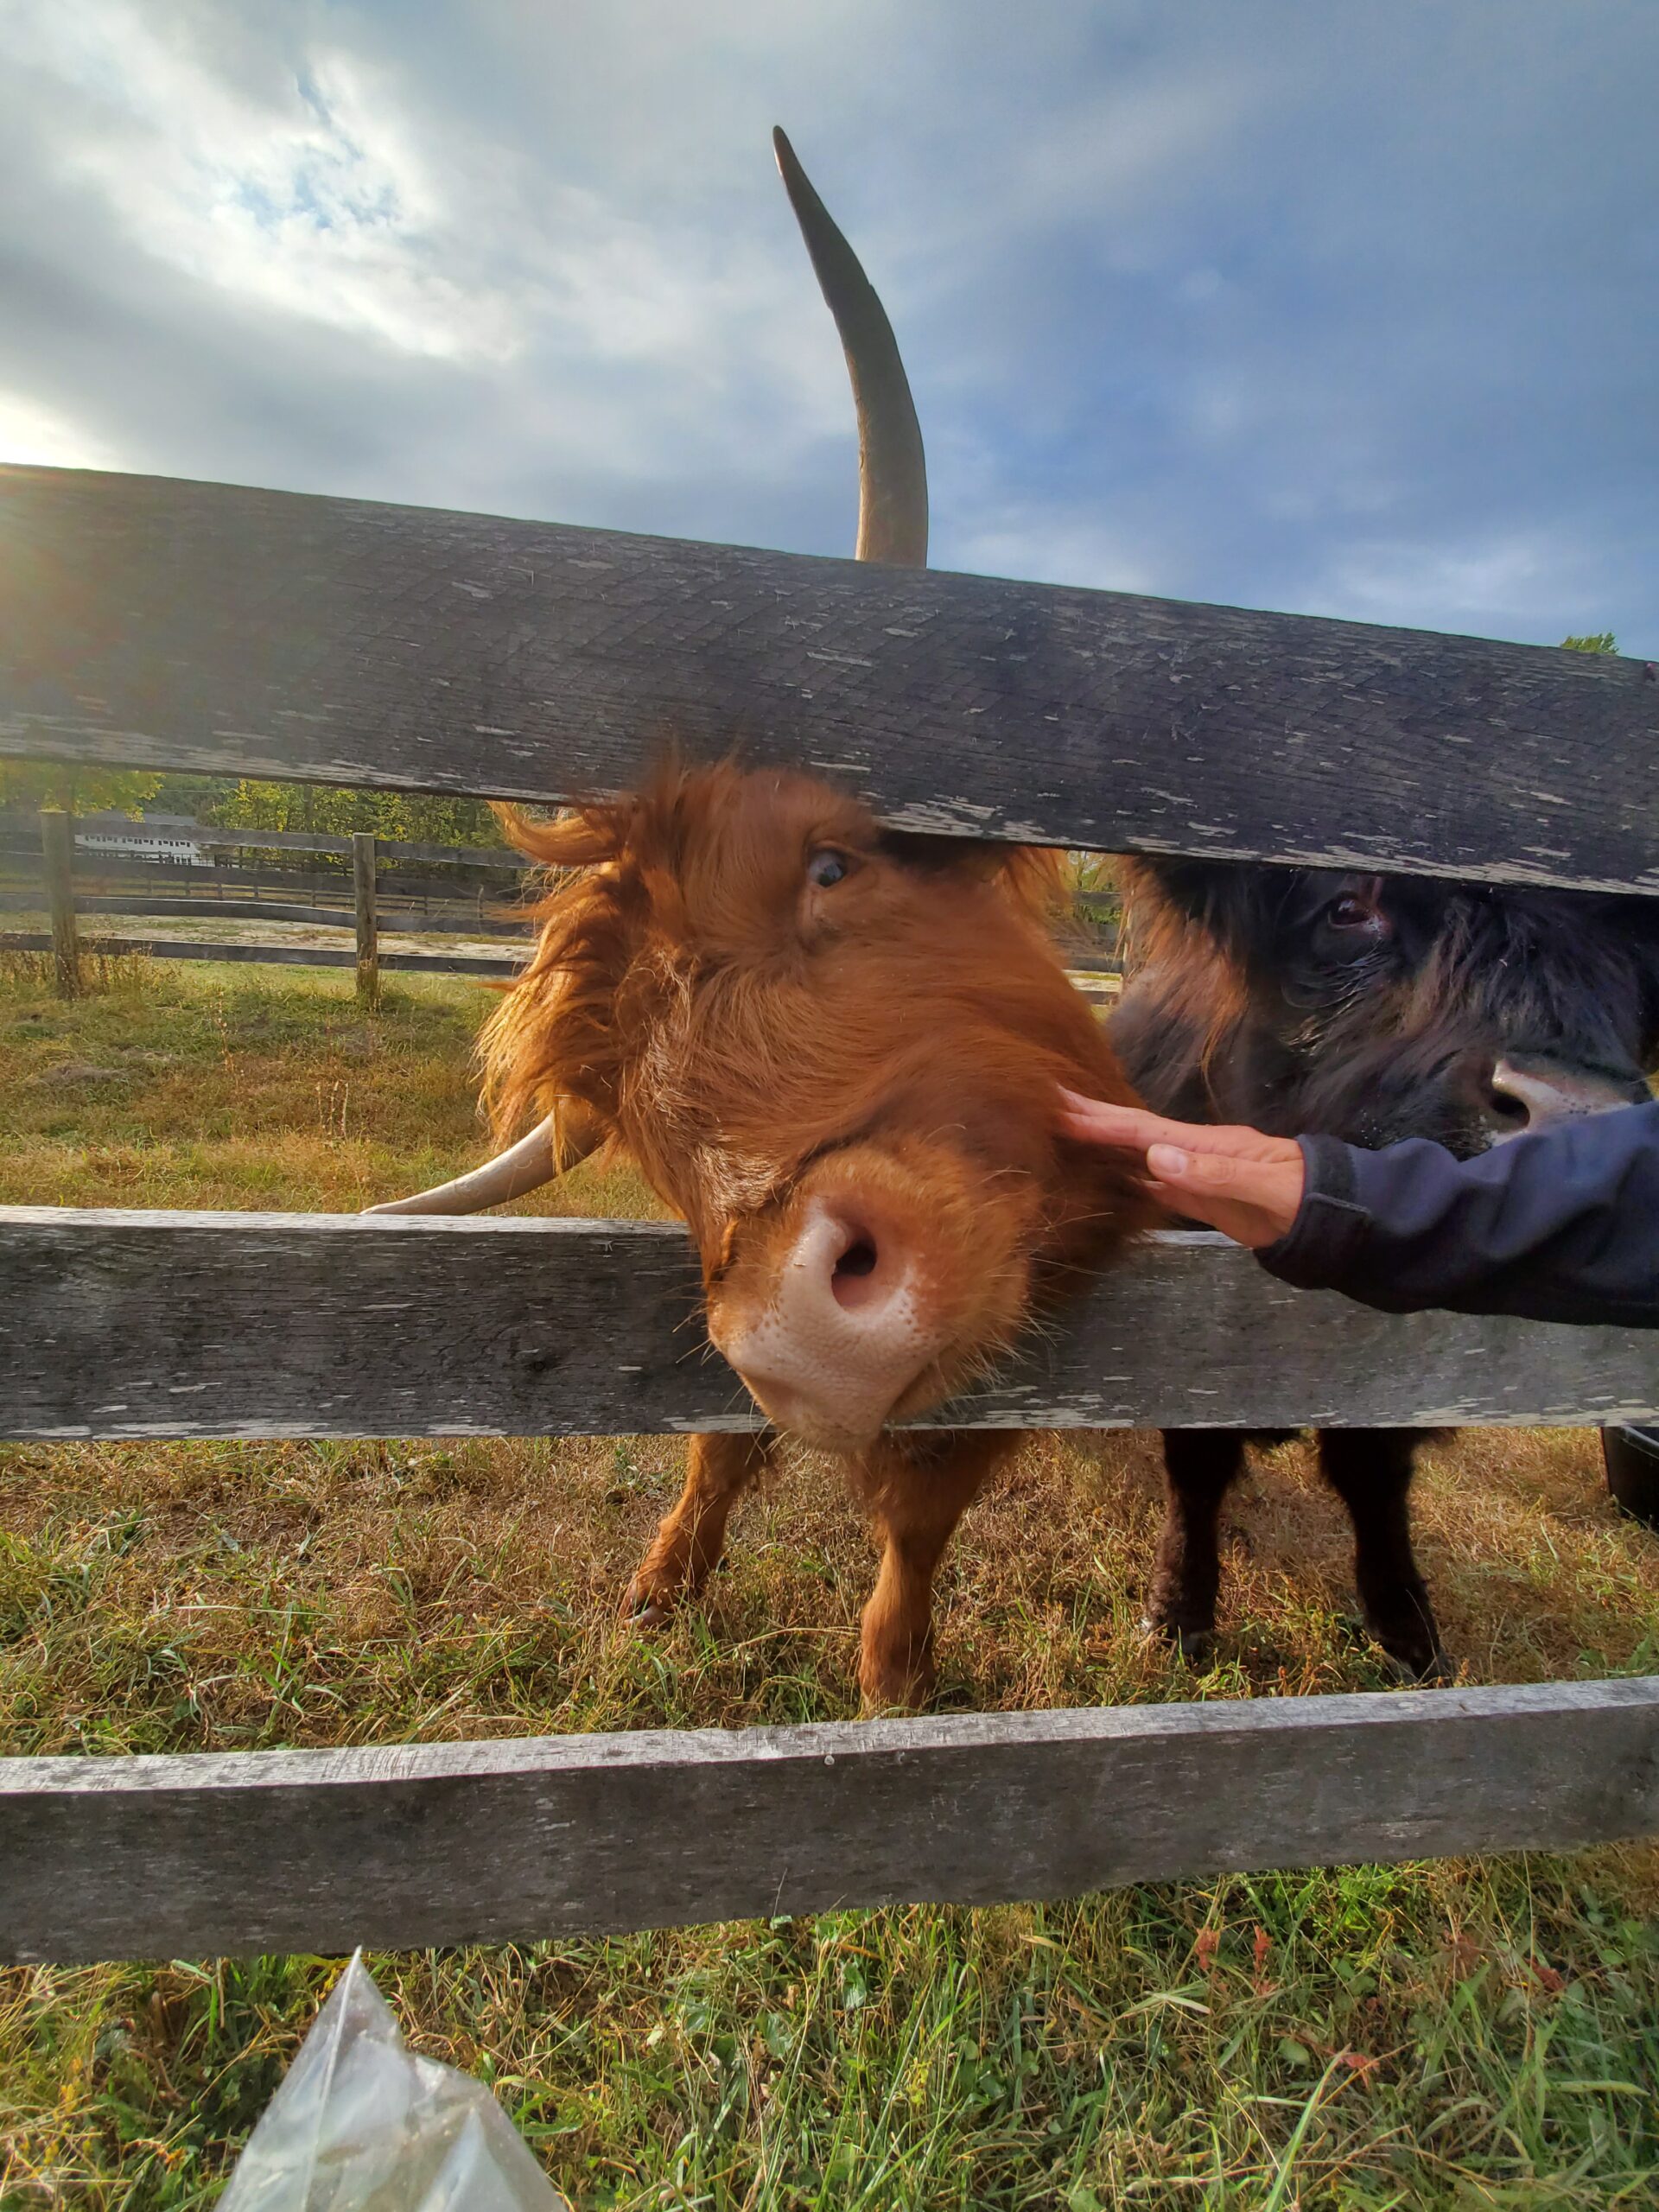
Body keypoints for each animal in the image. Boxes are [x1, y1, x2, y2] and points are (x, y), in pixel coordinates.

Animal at [373, 133, 1157, 1710]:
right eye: (637, 1125)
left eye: (834, 864)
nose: (801, 1336)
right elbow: (720, 1443)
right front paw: (665, 1585)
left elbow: (918, 1513)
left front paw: (895, 1677)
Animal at [1109, 860, 1659, 1676]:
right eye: (1346, 908)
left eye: (1633, 944)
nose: (1575, 1123)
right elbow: (1198, 1470)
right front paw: (1179, 1618)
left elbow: (1374, 1479)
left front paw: (1411, 1636)